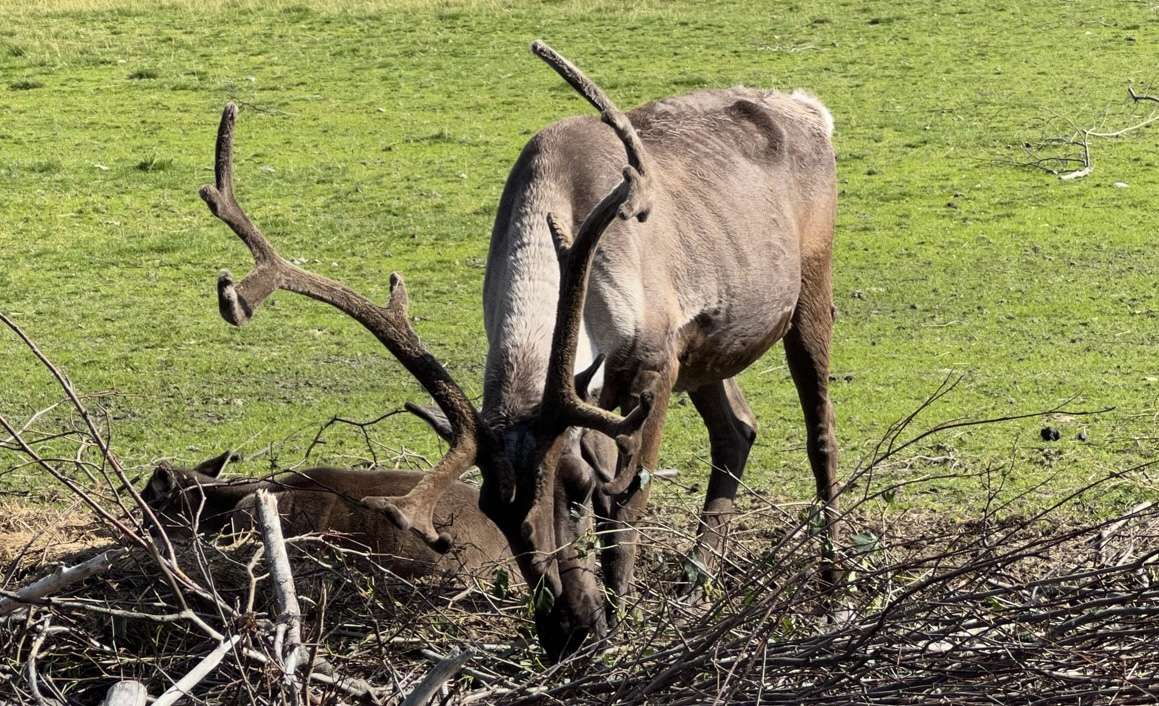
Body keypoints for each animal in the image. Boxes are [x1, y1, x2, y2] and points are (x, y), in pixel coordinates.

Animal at [198, 41, 837, 662]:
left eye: (576, 491)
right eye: (490, 508)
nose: (569, 631)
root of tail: (813, 109)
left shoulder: (655, 362)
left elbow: (626, 505)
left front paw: (624, 622)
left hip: (809, 282)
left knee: (819, 435)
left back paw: (831, 584)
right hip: (710, 348)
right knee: (739, 428)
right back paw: (693, 582)